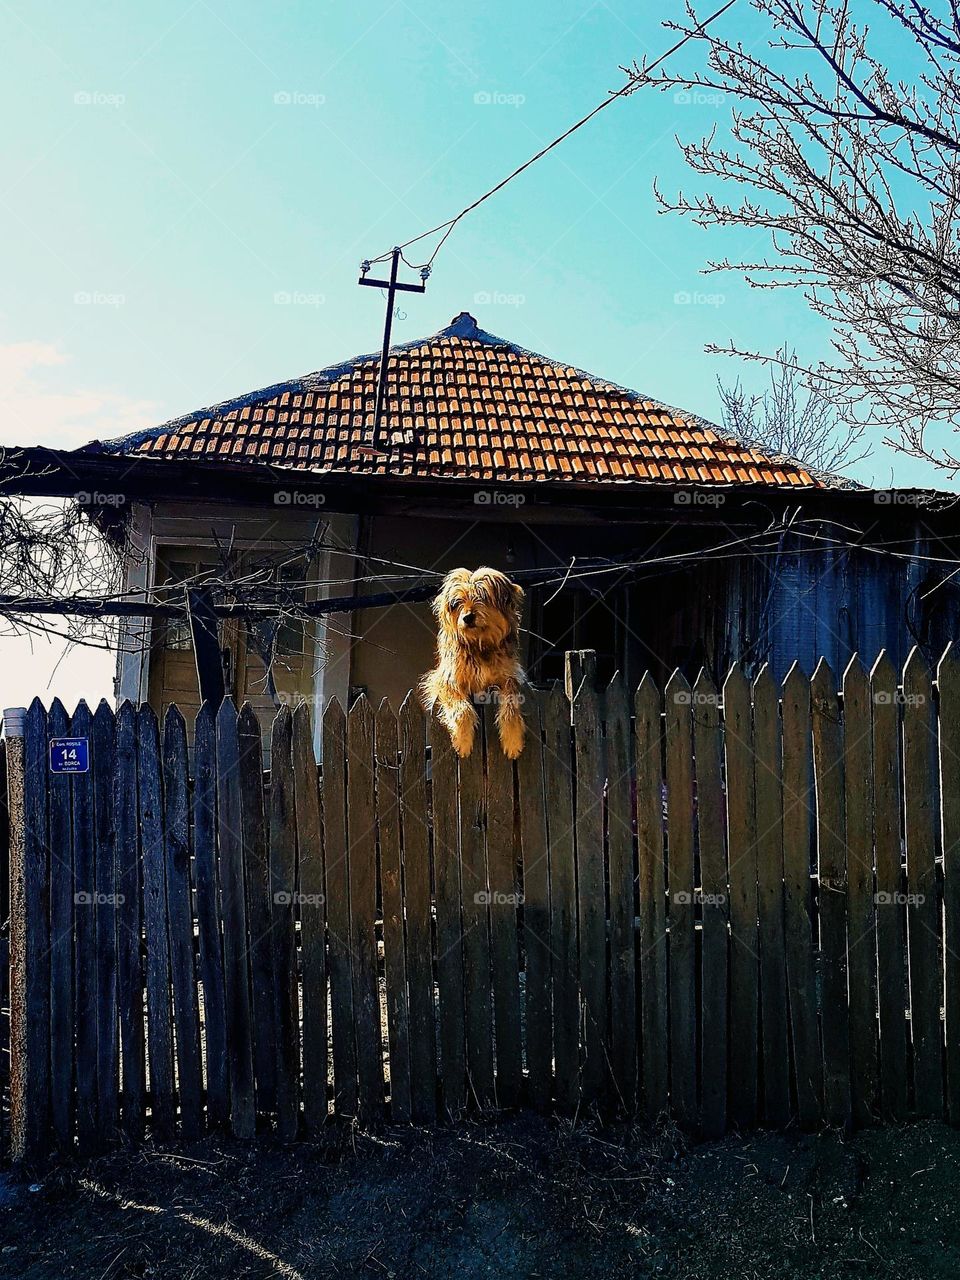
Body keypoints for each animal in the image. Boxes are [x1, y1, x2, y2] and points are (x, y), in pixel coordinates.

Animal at [419, 568, 527, 757]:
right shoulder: (446, 680)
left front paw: (512, 739)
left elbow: (511, 705)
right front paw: (462, 740)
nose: (468, 617)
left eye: (482, 596)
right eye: (457, 603)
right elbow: (462, 708)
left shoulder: (511, 676)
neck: (479, 644)